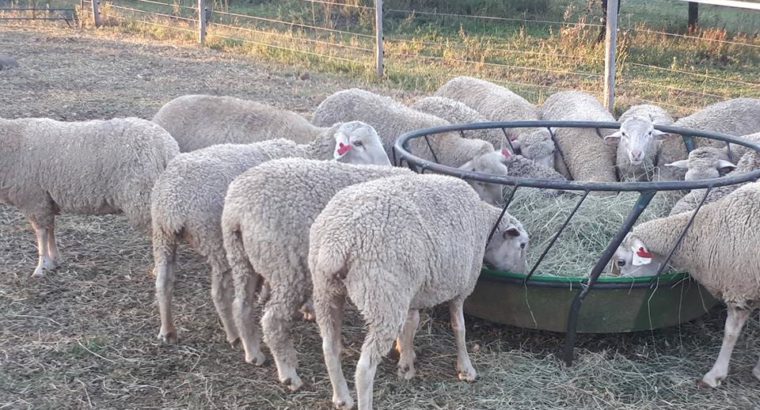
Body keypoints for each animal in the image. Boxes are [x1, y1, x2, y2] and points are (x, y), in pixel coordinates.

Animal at [0, 117, 179, 277]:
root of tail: (167, 147)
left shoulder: (33, 199)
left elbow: (41, 234)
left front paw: (41, 267)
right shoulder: (45, 201)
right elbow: (50, 230)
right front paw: (53, 260)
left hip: (142, 197)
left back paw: (160, 269)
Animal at [150, 121, 389, 346]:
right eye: (358, 143)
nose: (388, 166)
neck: (311, 155)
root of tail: (172, 202)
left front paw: (265, 295)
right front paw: (307, 308)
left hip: (162, 237)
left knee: (163, 283)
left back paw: (167, 331)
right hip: (213, 239)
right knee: (220, 294)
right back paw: (234, 336)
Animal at [220, 159, 414, 389]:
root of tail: (237, 210)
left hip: (241, 257)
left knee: (241, 305)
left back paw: (253, 353)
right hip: (287, 267)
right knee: (273, 321)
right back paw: (289, 374)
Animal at [308, 173, 529, 410]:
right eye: (523, 245)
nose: (524, 274)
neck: (485, 225)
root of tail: (337, 243)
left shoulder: (411, 293)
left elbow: (410, 326)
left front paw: (406, 362)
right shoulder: (460, 287)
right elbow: (459, 328)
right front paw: (466, 368)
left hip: (327, 292)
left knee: (329, 347)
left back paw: (342, 398)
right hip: (382, 297)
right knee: (365, 368)